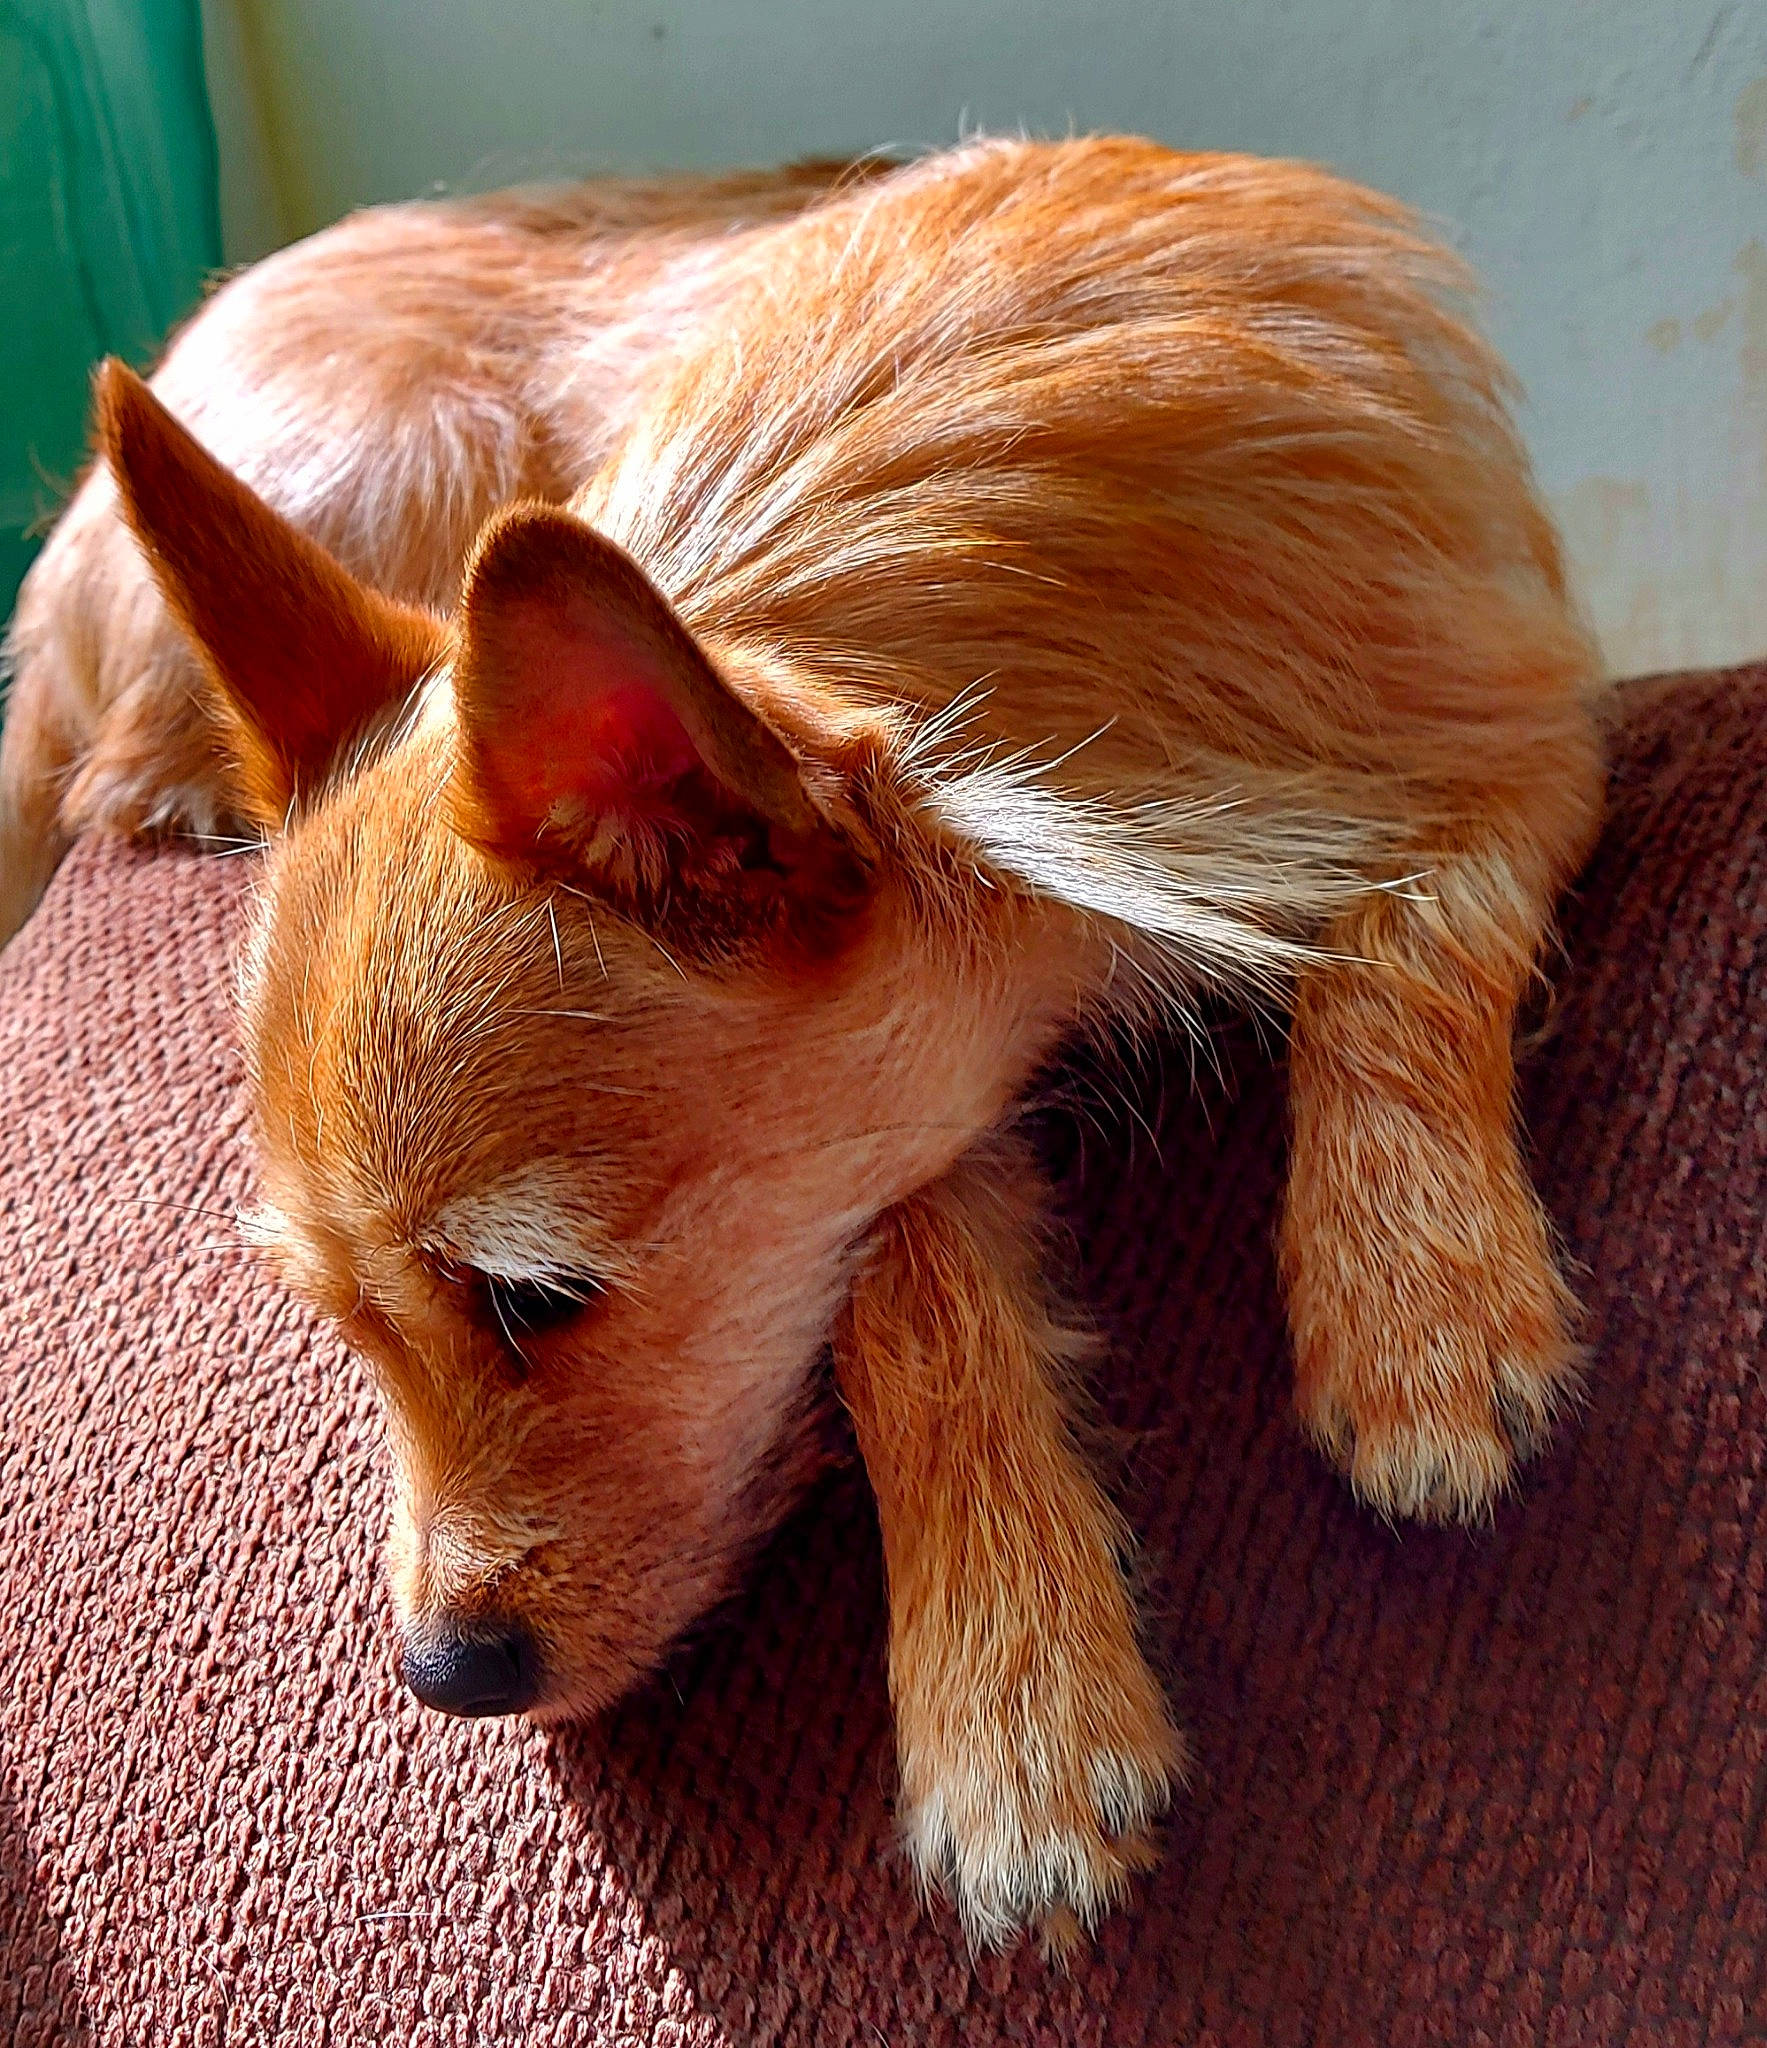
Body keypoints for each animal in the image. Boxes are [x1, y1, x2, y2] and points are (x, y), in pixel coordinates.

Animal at [0, 137, 1603, 1944]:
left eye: (530, 1298)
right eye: (340, 1326)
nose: (441, 1676)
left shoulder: (1528, 726)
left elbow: (1406, 938)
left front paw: (1414, 1308)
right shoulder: (911, 1123)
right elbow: (904, 1291)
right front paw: (1009, 1697)